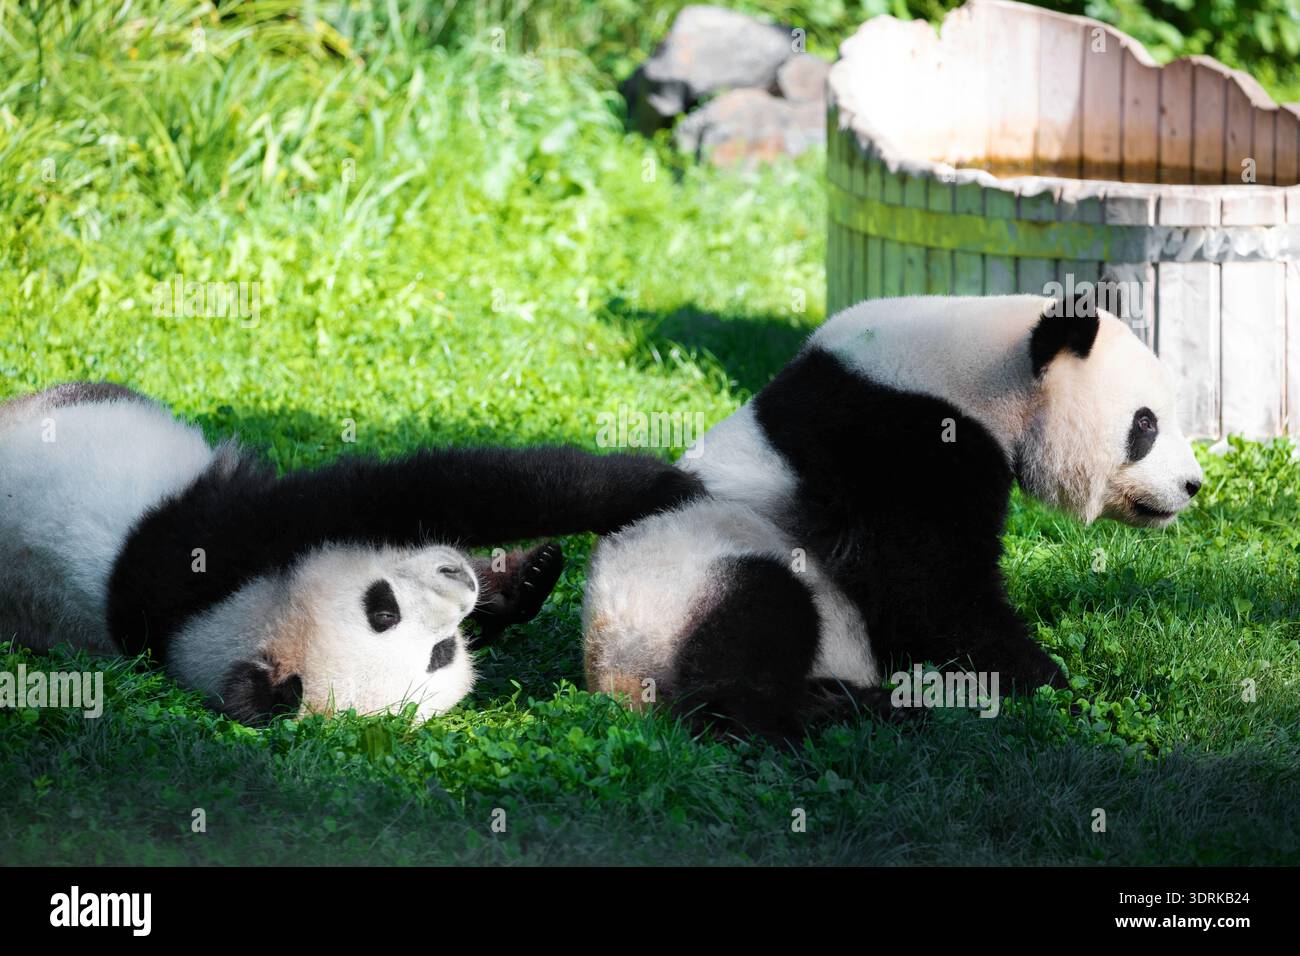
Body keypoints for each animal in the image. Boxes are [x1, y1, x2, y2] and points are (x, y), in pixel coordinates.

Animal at [0, 382, 701, 725]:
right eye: (439, 655)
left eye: (379, 604)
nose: (458, 584)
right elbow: (428, 488)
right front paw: (662, 487)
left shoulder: (226, 550)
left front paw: (526, 573)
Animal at [582, 295, 1205, 738]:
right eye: (1145, 423)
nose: (1192, 486)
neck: (987, 369)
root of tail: (609, 674)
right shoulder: (904, 439)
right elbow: (927, 589)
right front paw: (1051, 685)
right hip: (685, 575)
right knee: (757, 619)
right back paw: (838, 714)